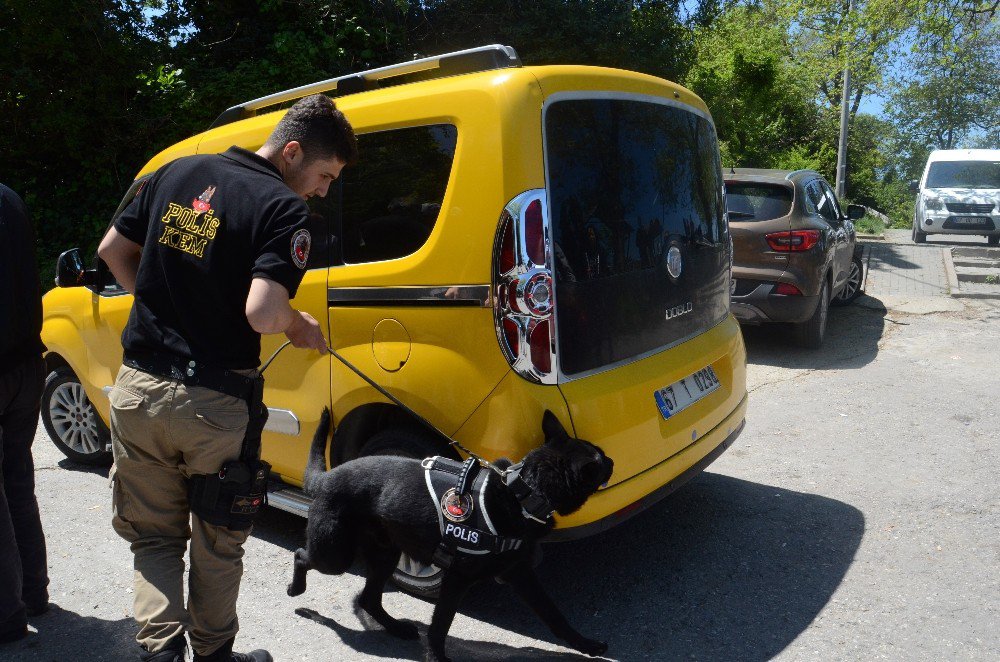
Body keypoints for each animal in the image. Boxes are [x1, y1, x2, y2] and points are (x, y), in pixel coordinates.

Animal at [286, 410, 612, 662]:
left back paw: (396, 628)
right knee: (302, 555)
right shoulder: (457, 579)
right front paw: (436, 657)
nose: (611, 460)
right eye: (600, 460)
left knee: (368, 599)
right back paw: (296, 589)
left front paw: (584, 644)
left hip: (385, 555)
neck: (522, 493)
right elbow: (441, 623)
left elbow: (553, 614)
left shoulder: (519, 573)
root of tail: (325, 478)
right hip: (335, 555)